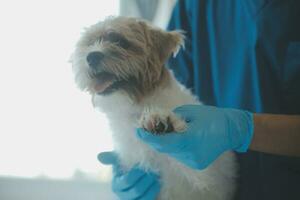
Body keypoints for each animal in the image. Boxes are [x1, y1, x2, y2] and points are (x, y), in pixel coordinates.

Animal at [72, 16, 237, 199]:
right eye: (89, 43)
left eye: (119, 41)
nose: (91, 56)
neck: (138, 109)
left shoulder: (209, 178)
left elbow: (192, 163)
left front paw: (162, 120)